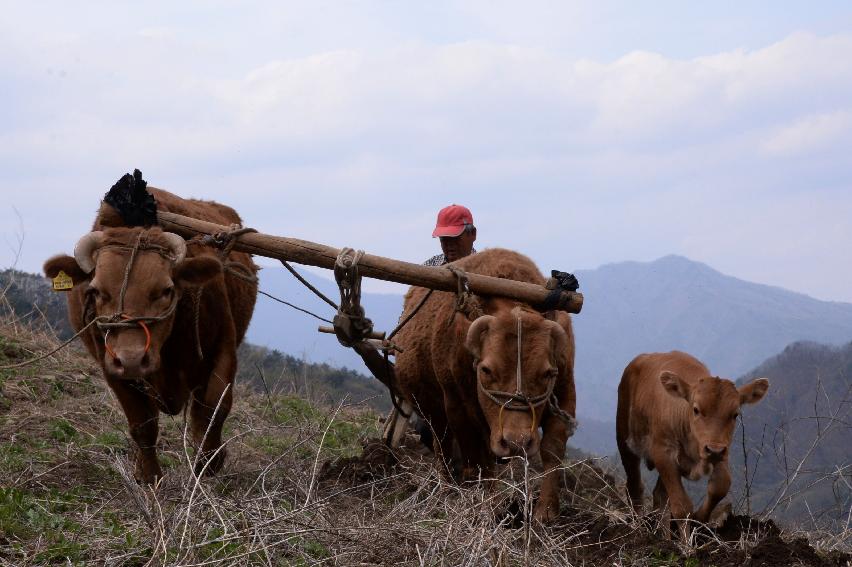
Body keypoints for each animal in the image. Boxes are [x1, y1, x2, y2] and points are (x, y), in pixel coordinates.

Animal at [616, 352, 768, 524]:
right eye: (696, 409)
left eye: (735, 414)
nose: (714, 450)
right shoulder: (663, 453)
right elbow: (681, 506)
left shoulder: (720, 449)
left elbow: (721, 485)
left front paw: (699, 517)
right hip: (625, 440)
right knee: (634, 486)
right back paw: (638, 523)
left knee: (659, 496)